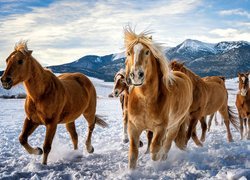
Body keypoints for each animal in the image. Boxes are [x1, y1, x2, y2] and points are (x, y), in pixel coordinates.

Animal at [124, 27, 192, 169]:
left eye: (147, 52)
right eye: (128, 53)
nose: (136, 75)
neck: (145, 99)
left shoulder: (161, 128)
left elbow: (155, 150)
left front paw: (156, 162)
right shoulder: (133, 127)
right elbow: (133, 154)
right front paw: (131, 171)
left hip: (175, 125)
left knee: (167, 144)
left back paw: (164, 158)